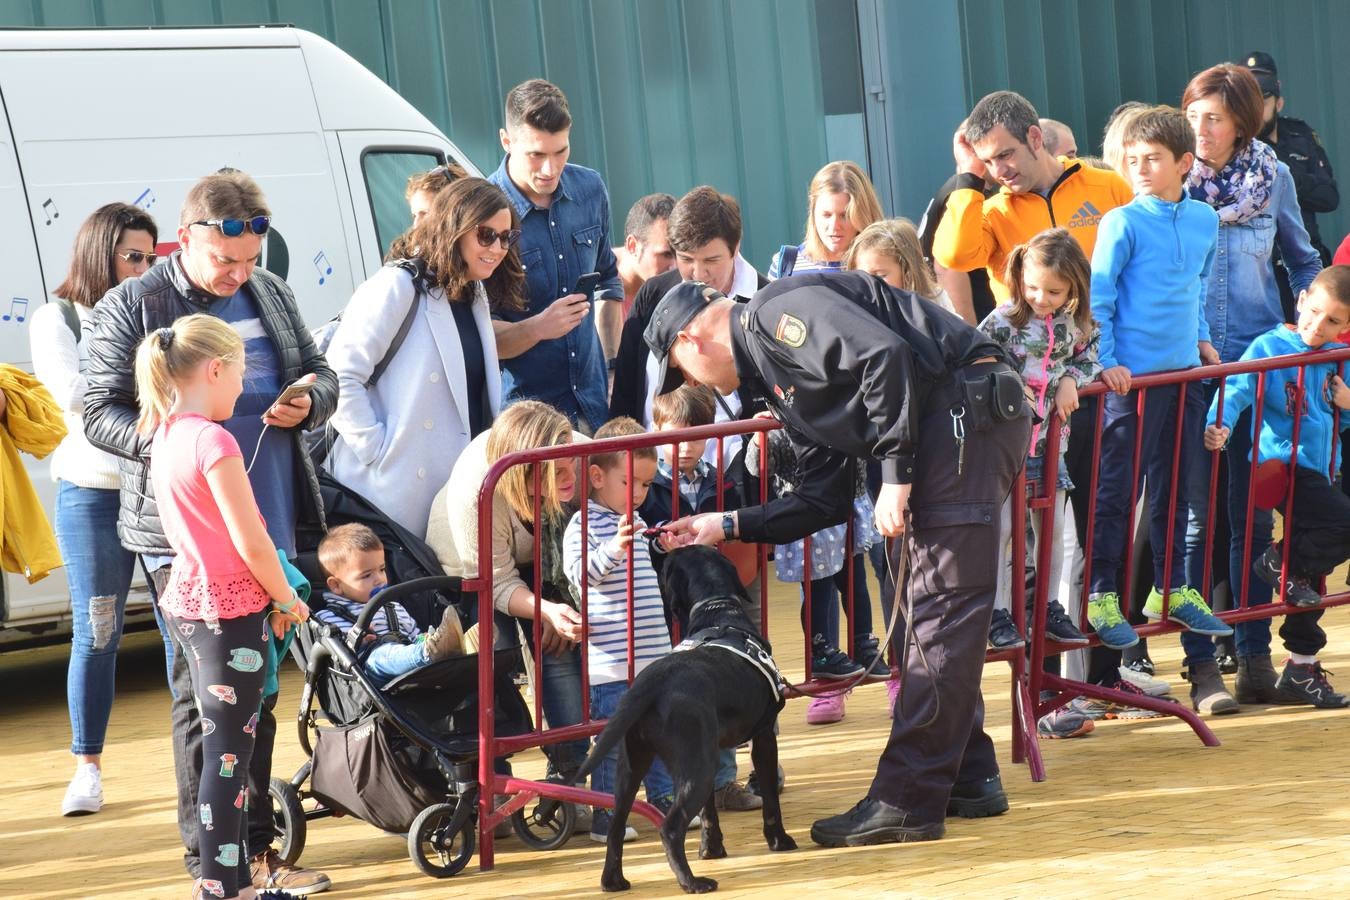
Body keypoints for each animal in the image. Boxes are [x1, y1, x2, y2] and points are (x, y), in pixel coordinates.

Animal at [572, 542, 799, 895]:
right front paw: (779, 840)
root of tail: (654, 679)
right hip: (696, 766)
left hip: (634, 765)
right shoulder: (763, 736)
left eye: (665, 568)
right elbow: (771, 800)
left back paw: (613, 881)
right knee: (670, 827)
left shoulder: (713, 748)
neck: (718, 610)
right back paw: (692, 882)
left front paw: (712, 849)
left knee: (616, 827)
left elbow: (709, 814)